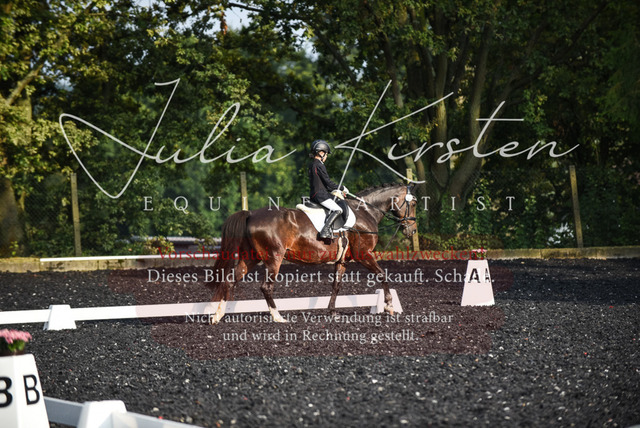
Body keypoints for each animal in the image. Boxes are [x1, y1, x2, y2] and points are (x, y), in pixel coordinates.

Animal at [206, 183, 418, 323]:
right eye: (414, 203)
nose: (412, 230)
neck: (364, 213)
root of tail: (250, 214)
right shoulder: (364, 254)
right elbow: (382, 275)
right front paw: (389, 306)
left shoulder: (342, 261)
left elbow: (336, 286)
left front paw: (332, 311)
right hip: (274, 259)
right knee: (266, 287)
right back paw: (278, 317)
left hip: (250, 258)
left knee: (229, 280)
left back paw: (217, 316)